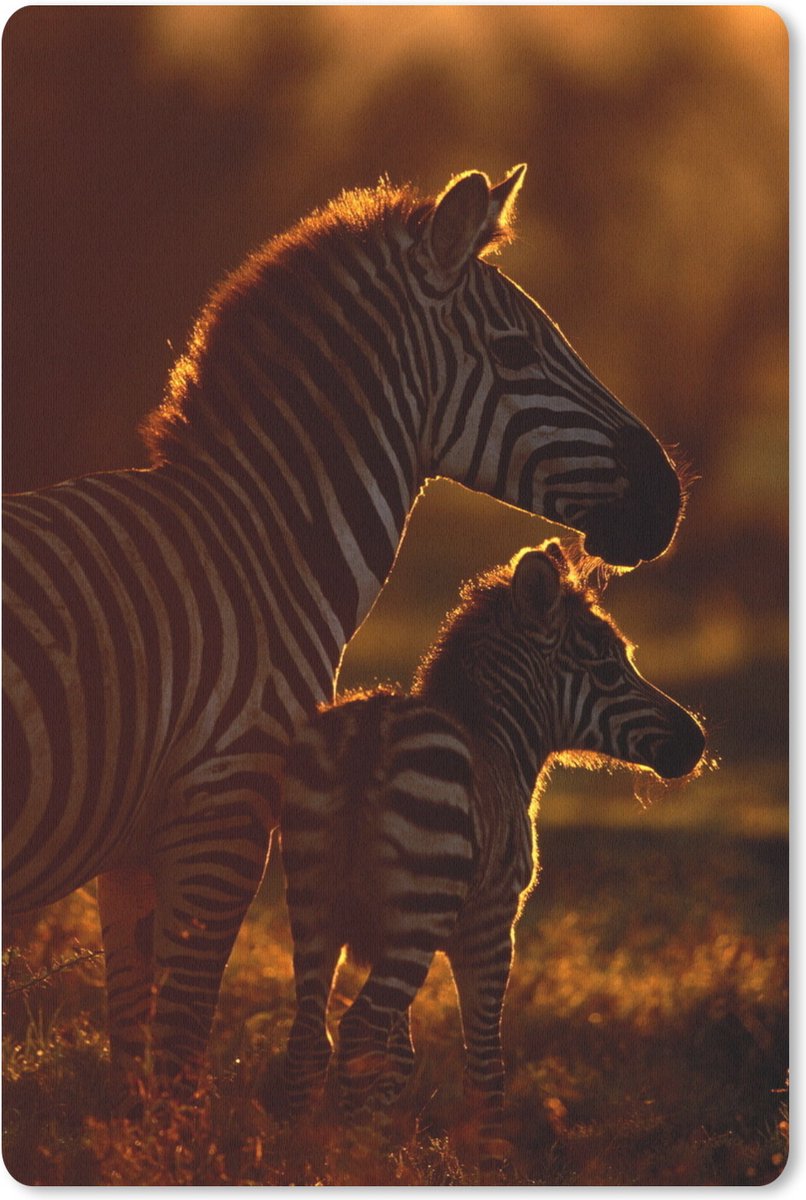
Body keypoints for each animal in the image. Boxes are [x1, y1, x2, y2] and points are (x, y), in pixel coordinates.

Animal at [3, 165, 685, 1103]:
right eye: (517, 352)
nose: (670, 497)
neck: (259, 550)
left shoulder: (134, 847)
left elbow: (134, 1063)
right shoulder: (228, 810)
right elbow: (182, 1054)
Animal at [280, 539, 705, 1169]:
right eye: (609, 669)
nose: (696, 742)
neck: (499, 744)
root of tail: (372, 729)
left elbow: (399, 1059)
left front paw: (388, 1147)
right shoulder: (492, 925)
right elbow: (485, 1061)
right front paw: (486, 1161)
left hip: (312, 907)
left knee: (312, 1037)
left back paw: (303, 1160)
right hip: (418, 917)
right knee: (358, 1031)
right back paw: (349, 1164)